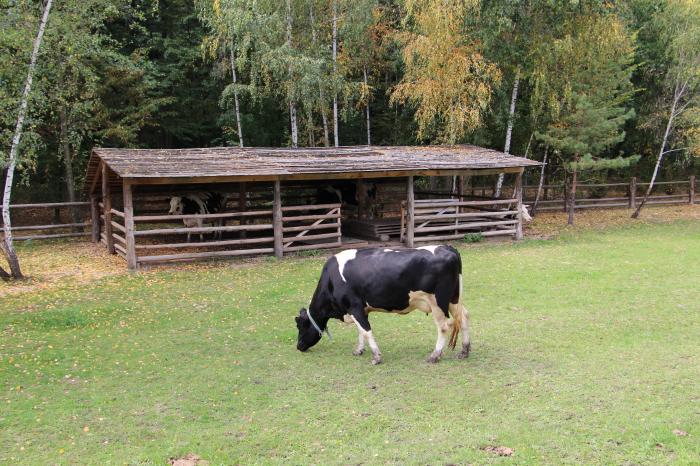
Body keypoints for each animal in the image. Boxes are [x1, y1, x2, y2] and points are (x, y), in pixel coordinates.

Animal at [296, 244, 470, 364]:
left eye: (300, 326)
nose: (298, 346)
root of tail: (448, 248)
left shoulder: (354, 306)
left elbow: (366, 331)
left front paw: (376, 357)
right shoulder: (360, 309)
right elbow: (360, 331)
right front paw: (359, 350)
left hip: (438, 302)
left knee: (444, 326)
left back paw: (435, 355)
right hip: (454, 299)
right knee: (464, 317)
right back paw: (465, 351)